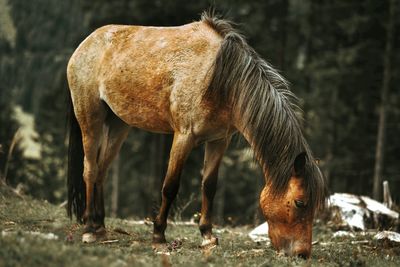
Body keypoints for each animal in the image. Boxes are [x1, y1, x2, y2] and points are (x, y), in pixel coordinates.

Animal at [67, 11, 326, 258]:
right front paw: (159, 236)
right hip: (90, 118)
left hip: (119, 125)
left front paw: (207, 236)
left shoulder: (219, 140)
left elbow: (209, 185)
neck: (219, 78)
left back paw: (100, 226)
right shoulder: (183, 137)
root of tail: (85, 44)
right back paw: (89, 230)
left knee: (102, 169)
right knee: (90, 169)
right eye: (300, 202)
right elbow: (170, 186)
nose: (302, 254)